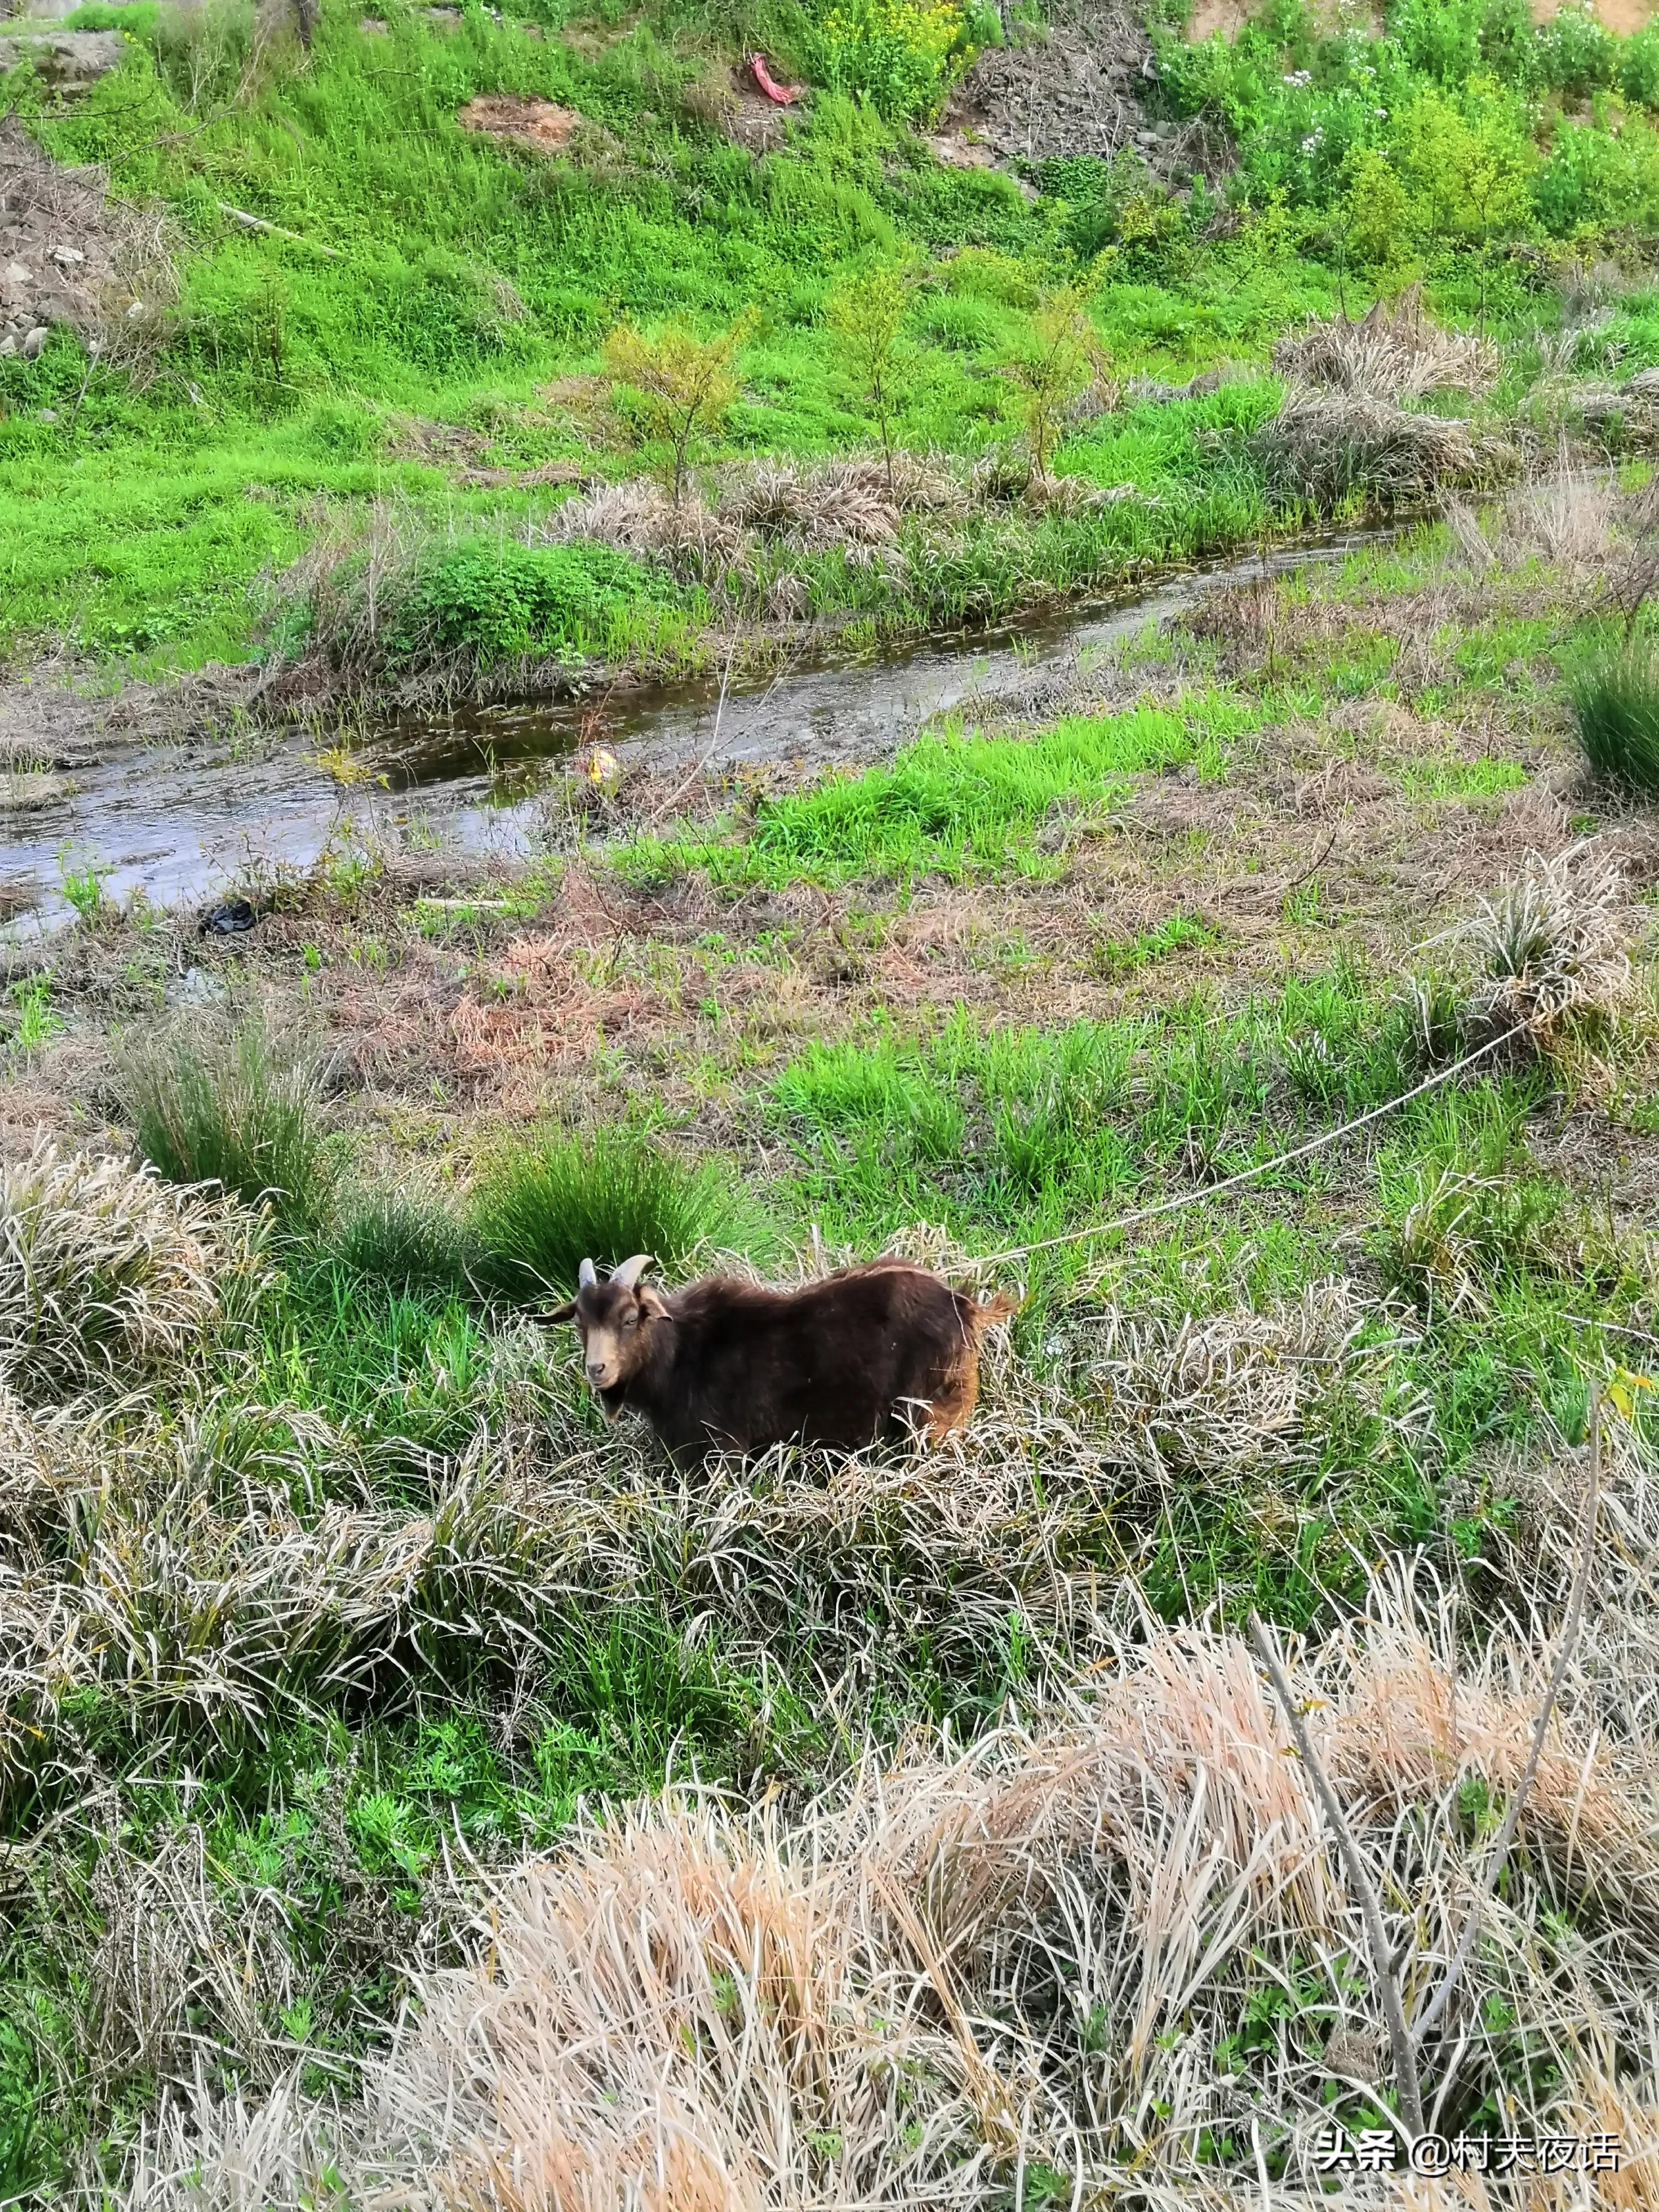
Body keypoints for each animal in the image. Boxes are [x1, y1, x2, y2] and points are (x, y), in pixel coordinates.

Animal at [548, 1256, 1013, 1460]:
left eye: (630, 1319)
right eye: (580, 1323)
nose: (597, 1369)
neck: (682, 1355)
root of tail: (968, 1308)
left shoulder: (720, 1451)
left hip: (931, 1415)